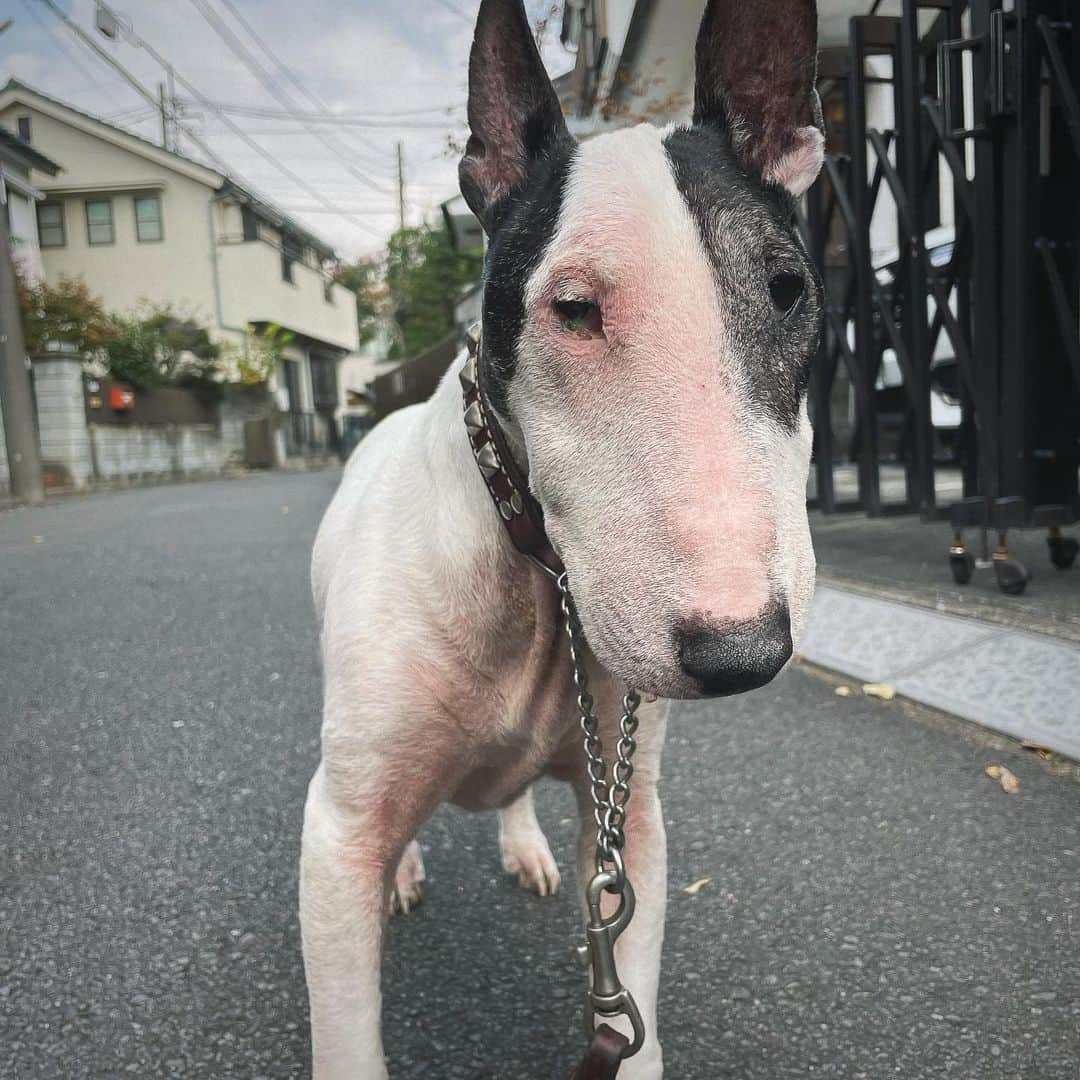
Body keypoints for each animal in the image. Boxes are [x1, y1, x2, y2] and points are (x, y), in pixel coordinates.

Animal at [300, 2, 820, 1071]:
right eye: (573, 308)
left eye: (788, 290)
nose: (746, 653)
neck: (534, 581)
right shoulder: (332, 839)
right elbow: (349, 1031)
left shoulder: (634, 823)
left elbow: (633, 1008)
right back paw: (405, 869)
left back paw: (524, 845)